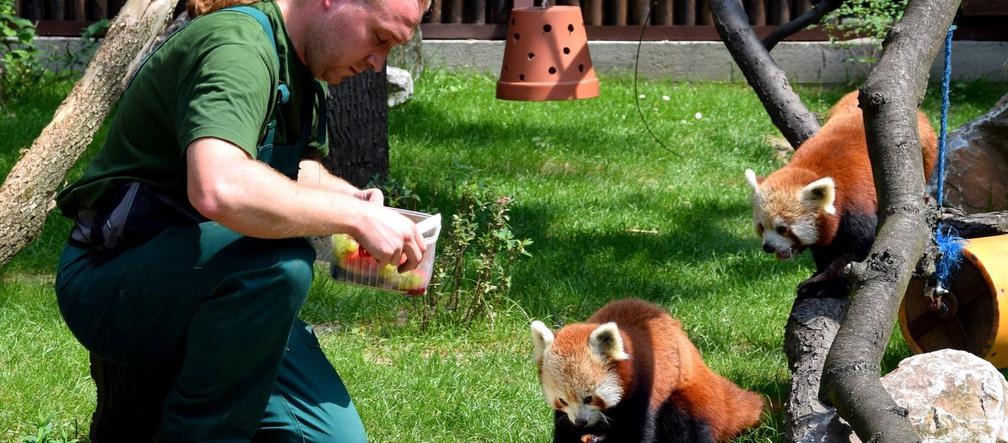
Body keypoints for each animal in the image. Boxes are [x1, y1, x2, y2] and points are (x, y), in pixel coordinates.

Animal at [532, 298, 758, 443]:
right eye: (562, 400)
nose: (581, 422)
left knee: (686, 425)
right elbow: (564, 428)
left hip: (694, 397)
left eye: (589, 398)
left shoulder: (648, 386)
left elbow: (638, 431)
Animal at [745, 90, 939, 300]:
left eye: (782, 228)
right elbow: (825, 246)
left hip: (925, 150)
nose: (768, 247)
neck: (812, 171)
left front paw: (822, 284)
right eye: (761, 227)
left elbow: (857, 249)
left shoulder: (856, 203)